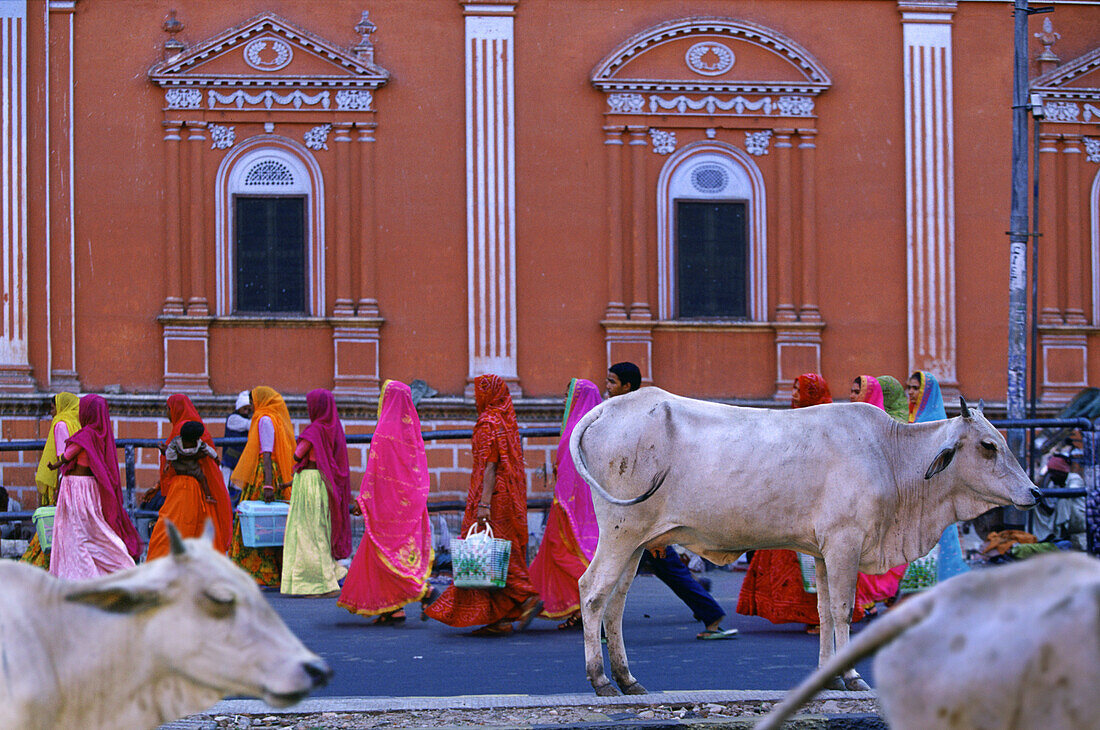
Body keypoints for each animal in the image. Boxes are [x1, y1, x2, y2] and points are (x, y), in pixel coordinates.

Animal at [567, 386, 1038, 694]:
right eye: (988, 445)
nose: (1035, 492)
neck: (891, 456)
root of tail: (608, 409)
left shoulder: (825, 553)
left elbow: (825, 613)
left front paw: (829, 676)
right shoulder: (846, 543)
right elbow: (844, 611)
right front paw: (852, 676)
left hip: (636, 543)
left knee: (615, 602)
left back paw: (627, 678)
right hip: (621, 532)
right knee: (592, 592)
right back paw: (600, 680)